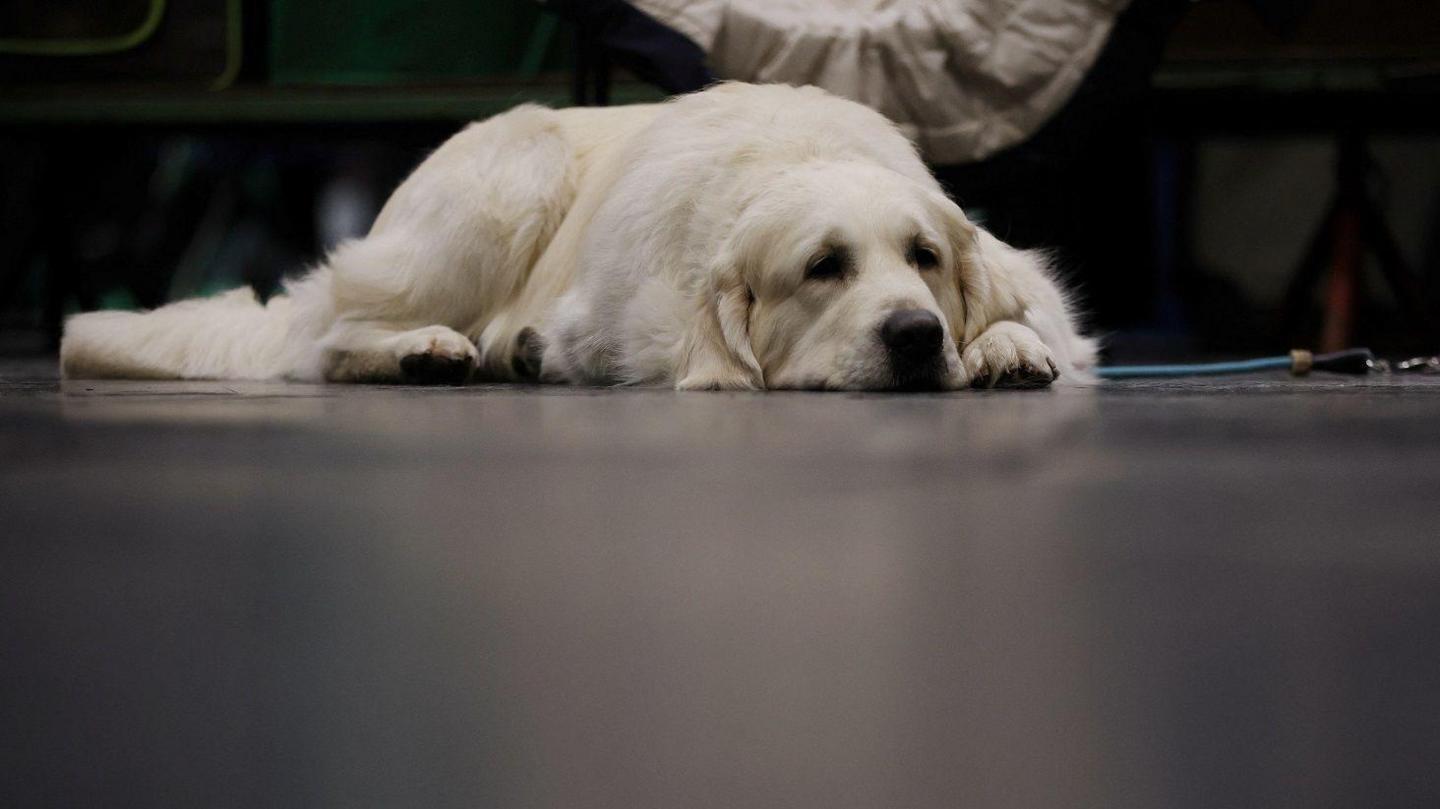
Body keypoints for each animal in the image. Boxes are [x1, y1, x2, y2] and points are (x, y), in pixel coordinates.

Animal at [59, 82, 1088, 391]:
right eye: (822, 267)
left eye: (923, 259)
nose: (914, 335)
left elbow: (1023, 307)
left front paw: (1002, 344)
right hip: (509, 177)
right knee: (329, 336)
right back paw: (430, 350)